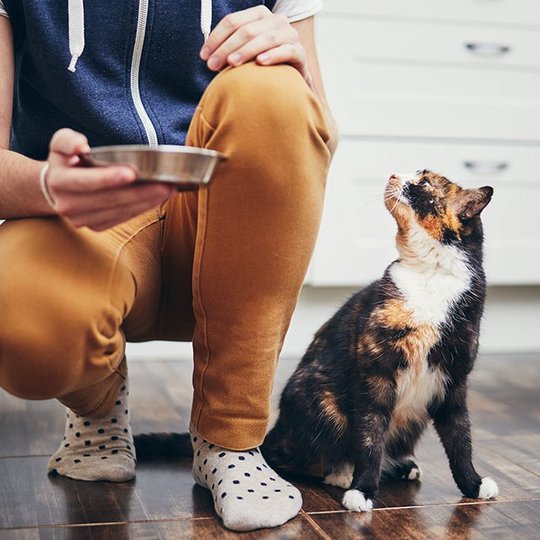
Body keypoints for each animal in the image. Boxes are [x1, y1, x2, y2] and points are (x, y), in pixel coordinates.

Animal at [262, 172, 498, 510]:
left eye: (424, 182)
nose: (394, 175)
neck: (431, 272)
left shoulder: (453, 380)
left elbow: (460, 439)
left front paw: (473, 484)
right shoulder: (376, 374)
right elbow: (370, 436)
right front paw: (362, 491)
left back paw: (402, 466)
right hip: (323, 402)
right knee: (283, 457)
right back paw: (341, 473)